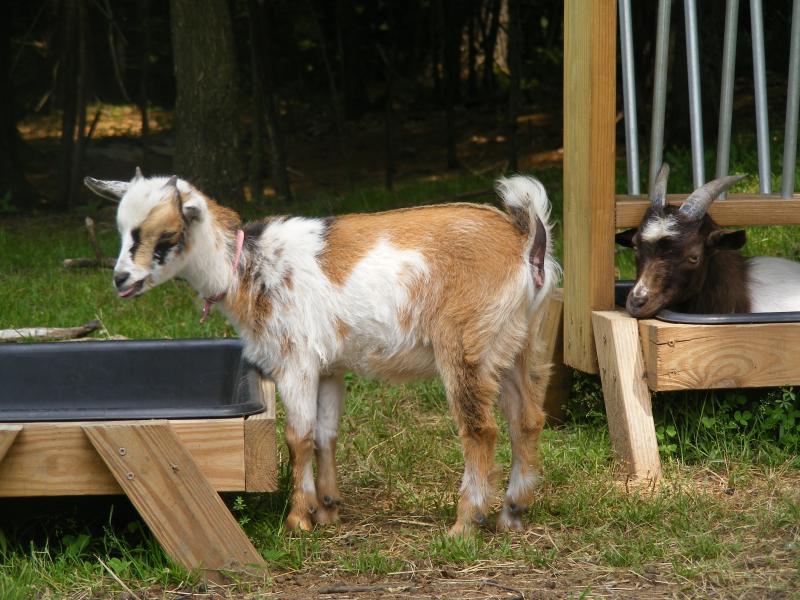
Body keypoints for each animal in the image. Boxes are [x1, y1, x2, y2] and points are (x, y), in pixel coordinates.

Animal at [84, 169, 559, 536]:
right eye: (123, 231)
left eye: (165, 233)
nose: (121, 279)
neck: (247, 266)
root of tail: (525, 242)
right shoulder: (329, 365)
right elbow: (327, 432)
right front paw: (328, 509)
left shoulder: (295, 360)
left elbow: (298, 436)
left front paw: (298, 519)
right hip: (522, 342)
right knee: (527, 419)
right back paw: (513, 513)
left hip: (466, 344)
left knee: (481, 430)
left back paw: (464, 524)